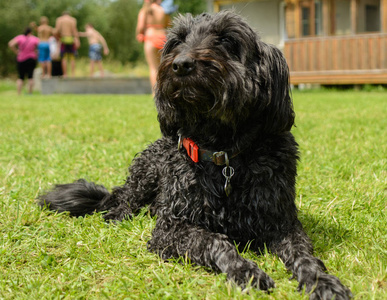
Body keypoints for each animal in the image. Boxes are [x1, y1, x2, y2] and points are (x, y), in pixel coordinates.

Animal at [39, 10, 352, 298]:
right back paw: (118, 212)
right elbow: (217, 242)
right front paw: (244, 270)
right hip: (144, 178)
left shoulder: (283, 222)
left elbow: (304, 255)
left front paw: (321, 281)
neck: (224, 154)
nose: (181, 65)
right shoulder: (171, 228)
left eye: (226, 40)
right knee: (121, 198)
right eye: (178, 41)